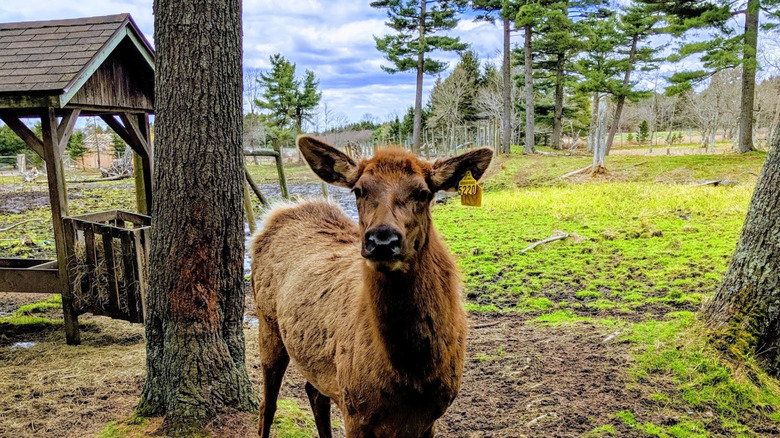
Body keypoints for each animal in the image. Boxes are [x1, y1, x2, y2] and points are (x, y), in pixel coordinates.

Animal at [251, 135, 493, 438]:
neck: (413, 375)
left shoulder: (431, 416)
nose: (382, 240)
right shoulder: (356, 411)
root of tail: (280, 212)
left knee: (314, 392)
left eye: (424, 193)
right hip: (267, 321)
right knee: (267, 404)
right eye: (359, 190)